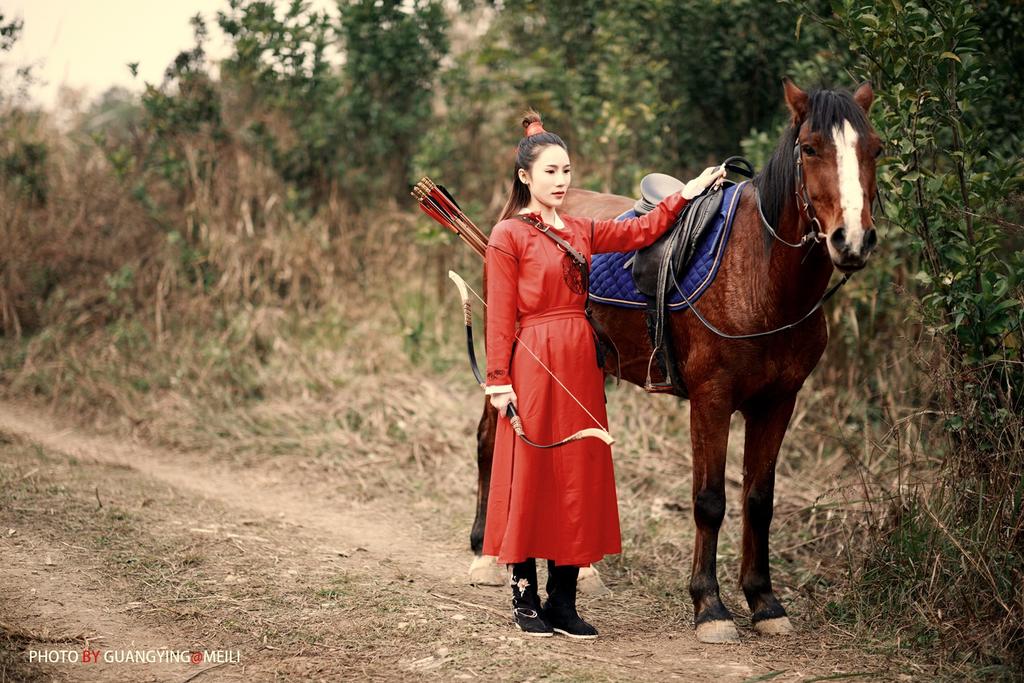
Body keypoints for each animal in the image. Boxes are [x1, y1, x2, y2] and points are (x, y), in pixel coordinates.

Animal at [468, 80, 880, 643]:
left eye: (874, 149)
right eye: (812, 148)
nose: (852, 240)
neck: (758, 275)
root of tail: (513, 215)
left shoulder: (778, 402)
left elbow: (759, 500)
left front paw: (765, 602)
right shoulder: (711, 398)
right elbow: (710, 500)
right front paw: (710, 606)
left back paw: (585, 570)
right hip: (505, 359)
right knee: (491, 441)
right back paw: (486, 555)